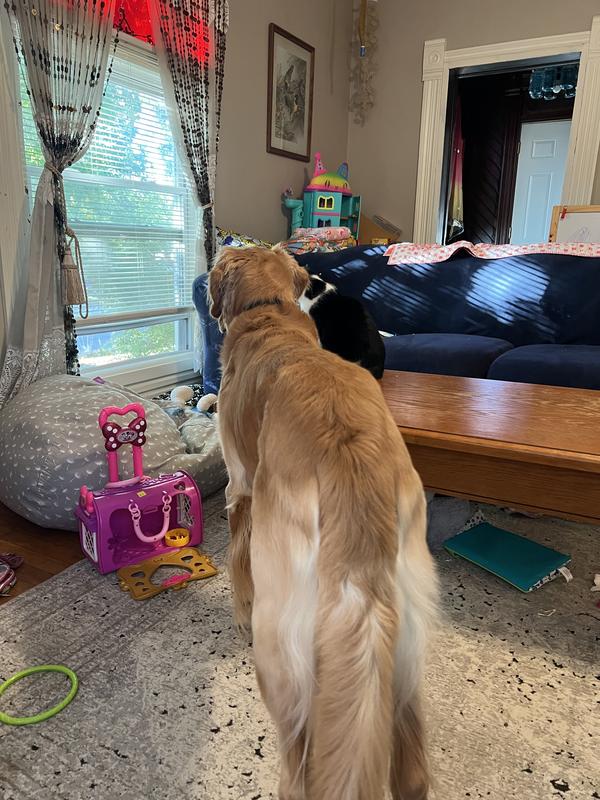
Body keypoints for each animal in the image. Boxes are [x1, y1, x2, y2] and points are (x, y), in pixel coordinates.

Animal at [208, 245, 437, 800]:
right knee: (412, 770)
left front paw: (237, 612)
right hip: (404, 651)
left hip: (282, 649)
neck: (268, 312)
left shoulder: (239, 487)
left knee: (299, 762)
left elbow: (237, 562)